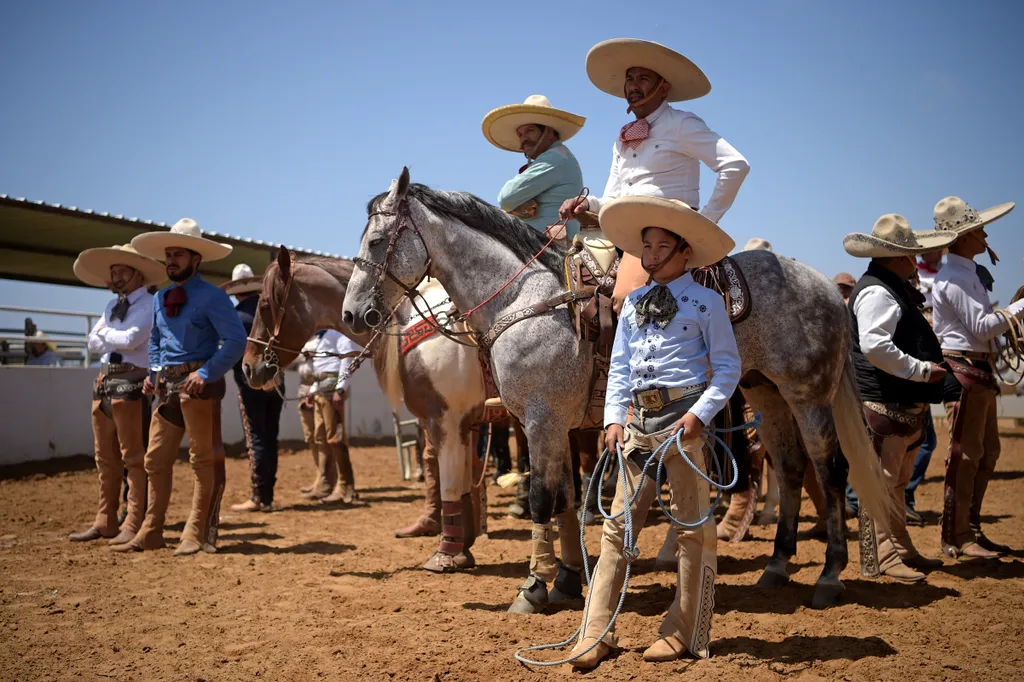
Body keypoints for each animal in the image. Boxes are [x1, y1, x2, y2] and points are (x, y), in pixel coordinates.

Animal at [342, 166, 888, 606]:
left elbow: (541, 498)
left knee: (830, 470)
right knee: (792, 467)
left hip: (807, 394)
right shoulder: (555, 425)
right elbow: (565, 498)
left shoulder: (538, 421)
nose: (352, 314)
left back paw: (831, 576)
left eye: (377, 241)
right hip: (764, 392)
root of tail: (826, 288)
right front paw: (565, 580)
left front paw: (533, 588)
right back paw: (776, 567)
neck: (524, 300)